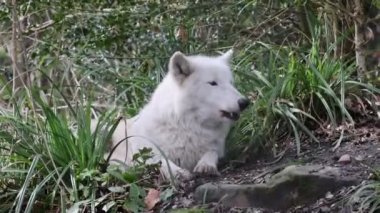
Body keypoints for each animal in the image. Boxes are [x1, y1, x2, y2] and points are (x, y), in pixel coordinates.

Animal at [93, 50, 251, 181]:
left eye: (230, 83)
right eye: (213, 83)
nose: (245, 102)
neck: (188, 125)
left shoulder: (217, 148)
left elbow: (211, 153)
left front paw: (206, 165)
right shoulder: (142, 150)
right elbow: (160, 159)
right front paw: (177, 172)